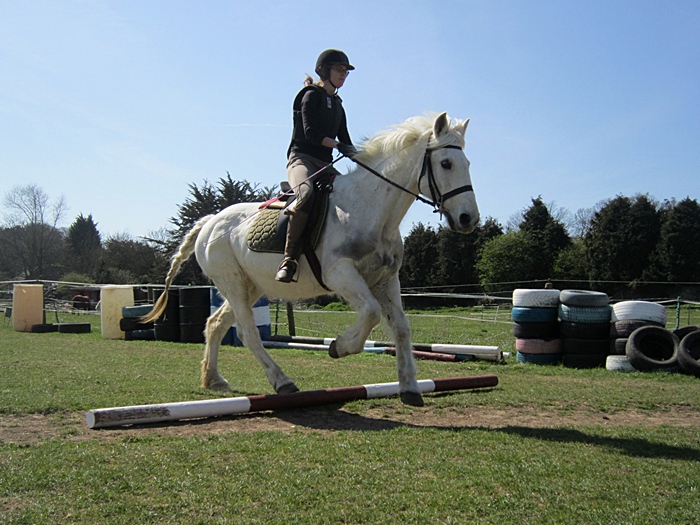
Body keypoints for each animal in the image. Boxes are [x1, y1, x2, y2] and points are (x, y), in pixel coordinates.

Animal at [143, 112, 479, 407]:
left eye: (467, 163)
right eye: (446, 163)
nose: (468, 219)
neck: (372, 211)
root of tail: (210, 221)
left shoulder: (386, 279)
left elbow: (400, 327)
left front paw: (409, 387)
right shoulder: (339, 273)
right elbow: (371, 313)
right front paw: (339, 347)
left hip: (249, 286)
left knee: (215, 324)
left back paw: (214, 379)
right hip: (232, 283)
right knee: (247, 333)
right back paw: (283, 382)